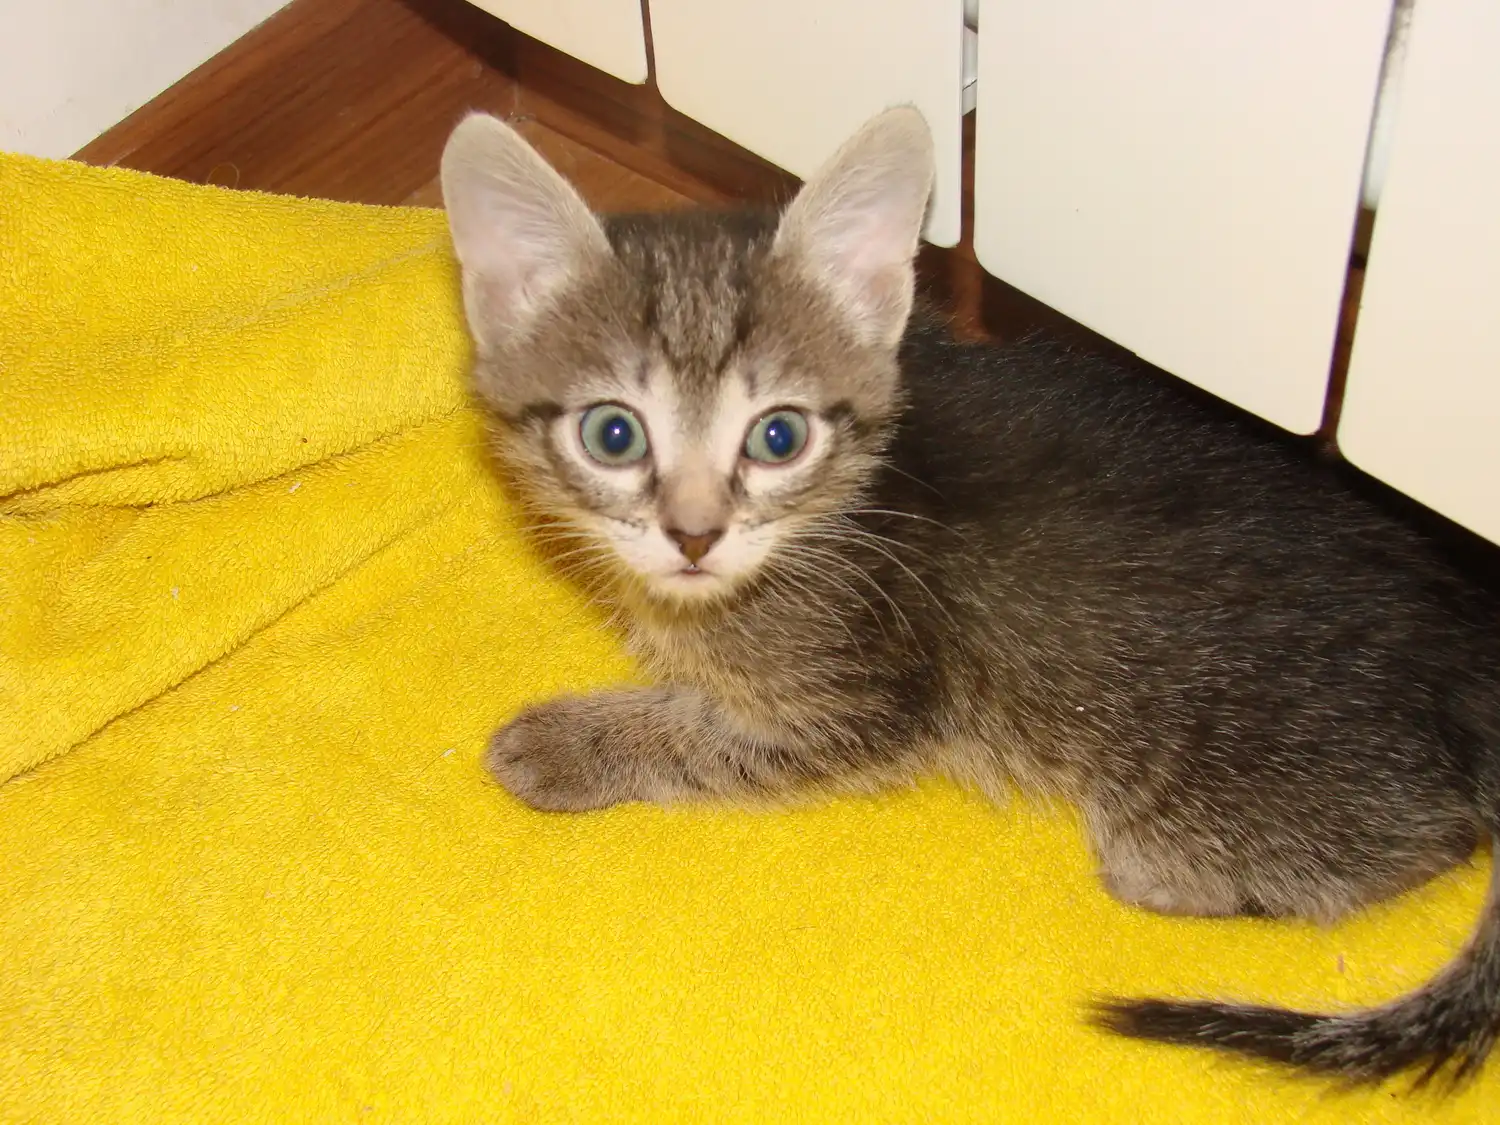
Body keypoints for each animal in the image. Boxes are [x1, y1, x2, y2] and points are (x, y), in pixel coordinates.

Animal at [440, 106, 1500, 1090]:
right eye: (613, 434)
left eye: (778, 436)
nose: (694, 535)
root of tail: (1470, 662)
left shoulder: (870, 698)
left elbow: (709, 738)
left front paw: (566, 743)